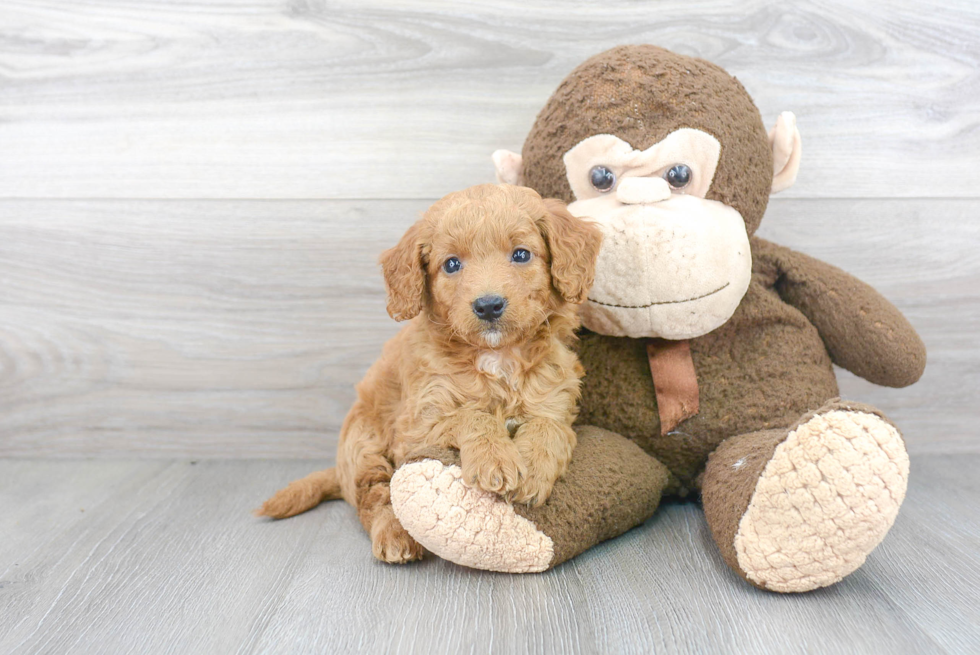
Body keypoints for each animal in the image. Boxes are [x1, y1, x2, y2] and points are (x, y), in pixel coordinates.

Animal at [256, 184, 600, 564]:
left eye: (522, 254)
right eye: (451, 264)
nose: (488, 305)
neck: (497, 358)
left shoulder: (555, 402)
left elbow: (547, 429)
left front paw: (534, 470)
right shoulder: (418, 426)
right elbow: (472, 416)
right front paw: (494, 458)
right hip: (364, 445)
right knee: (375, 497)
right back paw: (394, 535)